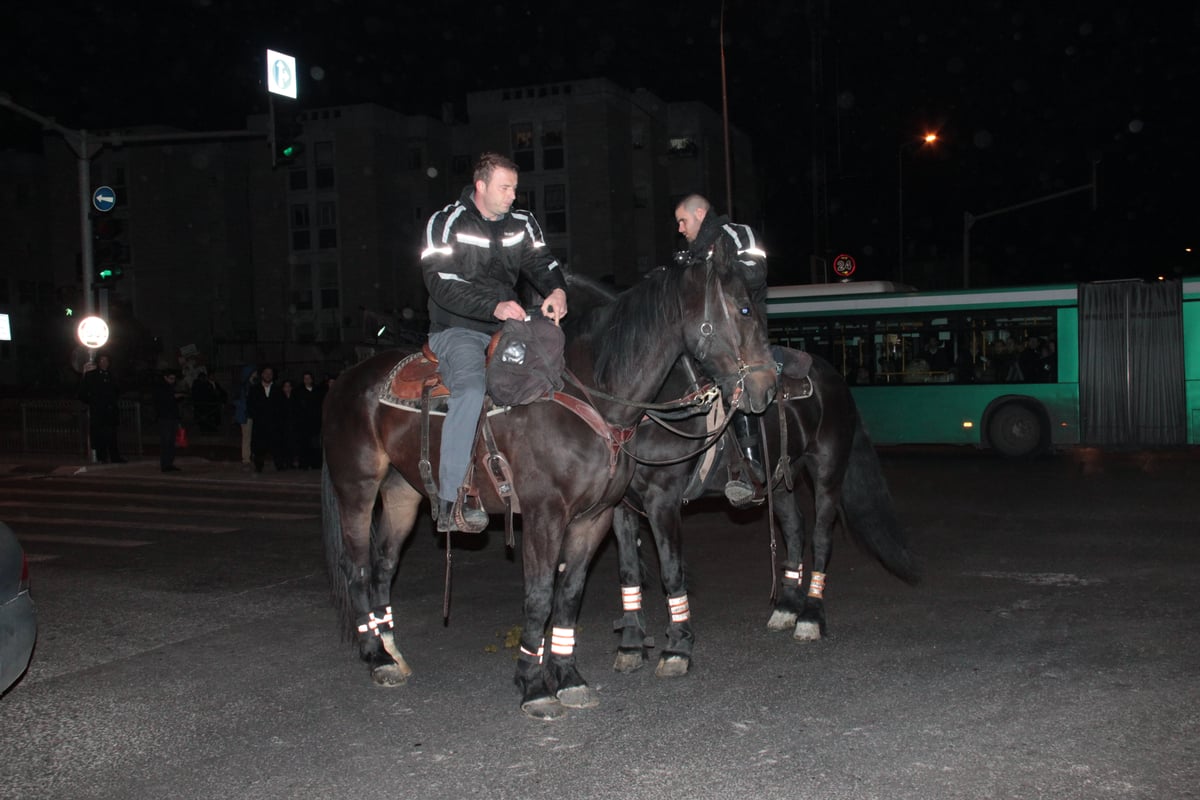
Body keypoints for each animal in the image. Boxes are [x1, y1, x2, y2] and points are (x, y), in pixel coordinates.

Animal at [319, 237, 777, 719]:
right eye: (745, 309)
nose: (767, 386)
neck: (592, 398)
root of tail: (346, 379)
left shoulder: (597, 516)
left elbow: (571, 593)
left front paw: (568, 676)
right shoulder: (549, 515)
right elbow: (541, 595)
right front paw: (533, 685)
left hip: (402, 493)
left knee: (384, 566)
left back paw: (391, 649)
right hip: (357, 489)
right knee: (358, 567)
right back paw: (376, 656)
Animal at [609, 350, 916, 676]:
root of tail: (833, 376)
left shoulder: (662, 500)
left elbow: (670, 571)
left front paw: (677, 649)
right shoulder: (620, 507)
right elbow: (628, 571)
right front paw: (630, 645)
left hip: (827, 470)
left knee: (821, 538)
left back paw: (810, 616)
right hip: (781, 476)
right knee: (795, 528)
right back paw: (787, 607)